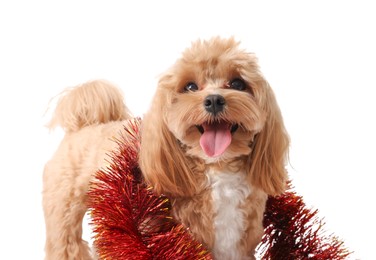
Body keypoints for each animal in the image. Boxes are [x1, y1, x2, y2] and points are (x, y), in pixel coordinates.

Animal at [44, 37, 290, 260]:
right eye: (190, 87)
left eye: (238, 84)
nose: (214, 100)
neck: (218, 168)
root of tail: (84, 125)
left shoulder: (238, 244)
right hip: (64, 208)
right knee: (67, 243)